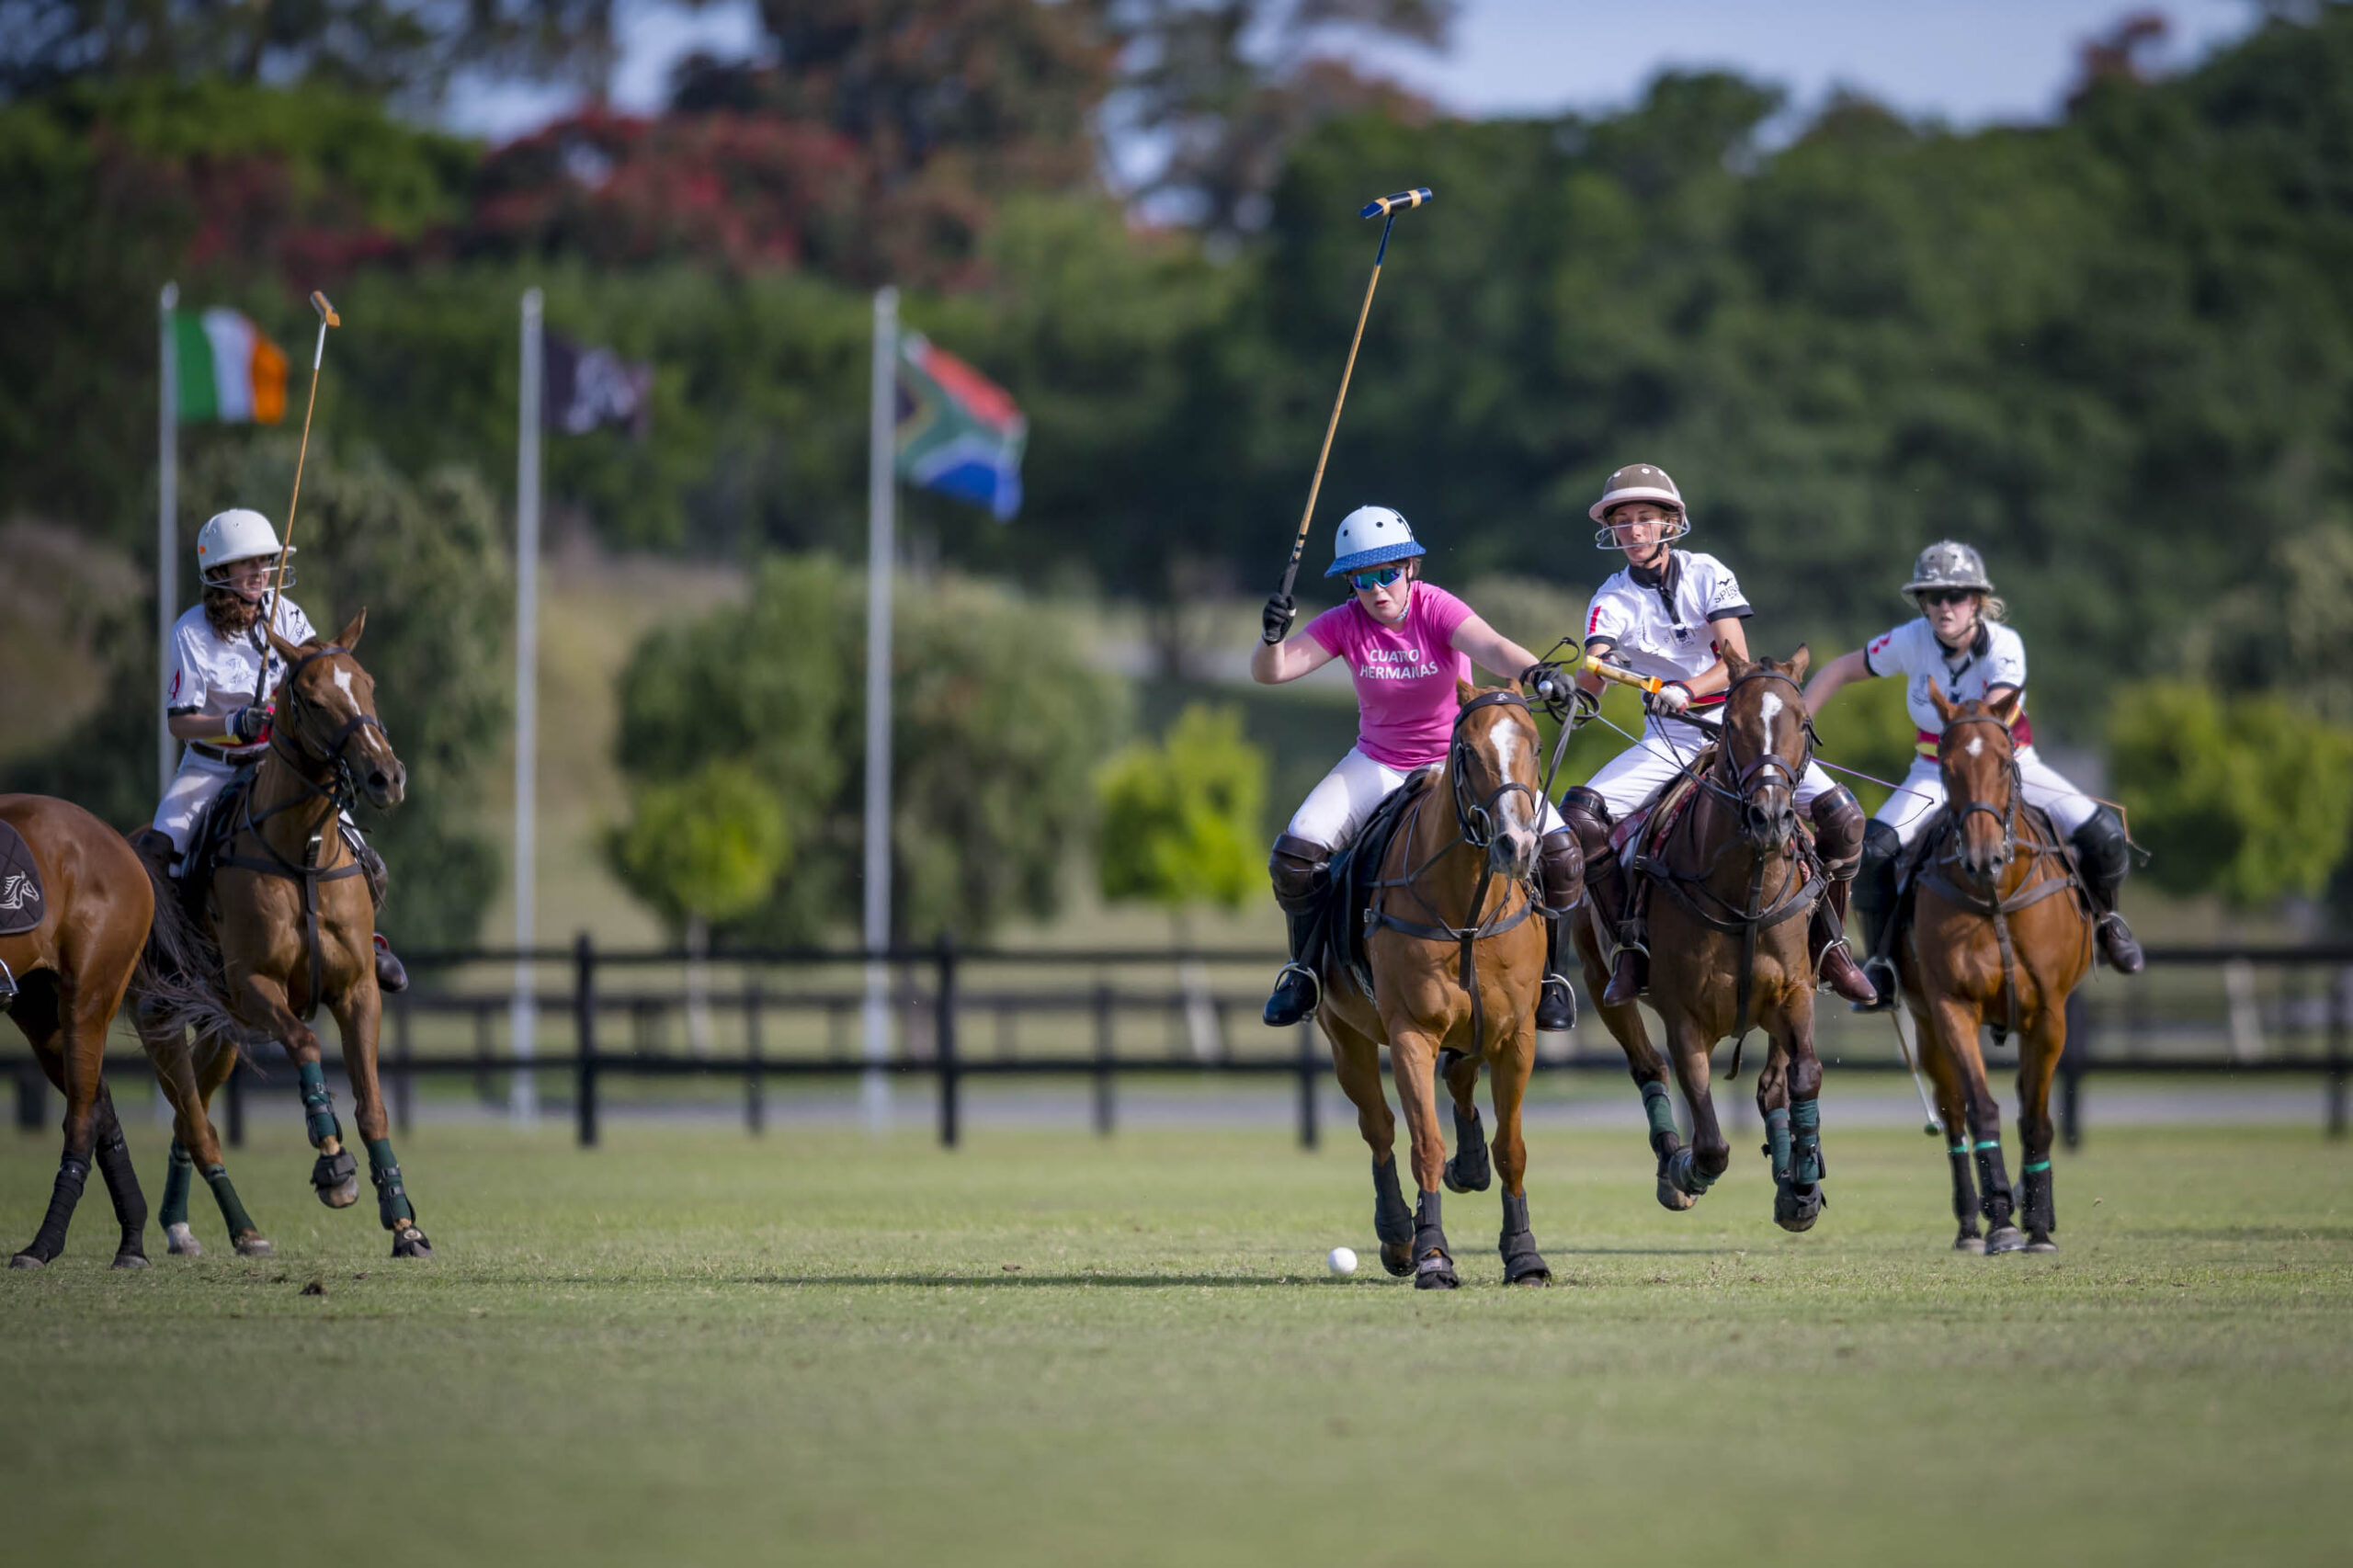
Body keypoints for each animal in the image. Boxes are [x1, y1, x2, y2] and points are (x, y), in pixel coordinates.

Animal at [133, 609, 433, 1260]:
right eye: (313, 700)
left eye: (368, 685)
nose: (386, 776)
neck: (304, 853)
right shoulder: (257, 986)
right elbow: (305, 1045)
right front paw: (334, 1167)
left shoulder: (357, 991)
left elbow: (373, 1107)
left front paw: (404, 1224)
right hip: (161, 1016)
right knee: (194, 1118)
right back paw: (228, 1229)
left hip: (222, 1030)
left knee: (191, 1113)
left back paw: (189, 1225)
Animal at [1314, 682, 1555, 1289]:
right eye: (1467, 750)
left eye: (1537, 745)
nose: (1517, 846)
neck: (1467, 908)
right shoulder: (1411, 1034)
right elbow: (1423, 1142)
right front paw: (1433, 1256)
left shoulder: (1517, 1035)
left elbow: (1511, 1148)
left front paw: (1524, 1255)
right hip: (1344, 1036)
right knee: (1378, 1128)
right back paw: (1399, 1235)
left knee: (1461, 1077)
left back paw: (1467, 1168)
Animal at [1573, 651, 1834, 1231]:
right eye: (1732, 724)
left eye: (1804, 723)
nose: (1770, 818)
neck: (1746, 891)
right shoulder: (1684, 1018)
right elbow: (1712, 1142)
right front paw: (1684, 1171)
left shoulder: (1795, 992)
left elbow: (1806, 1073)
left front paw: (1803, 1182)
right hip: (1600, 979)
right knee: (1648, 1065)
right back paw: (1672, 1161)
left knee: (1773, 1083)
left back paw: (1790, 1175)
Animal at [1897, 683, 2094, 1254]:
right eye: (1945, 766)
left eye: (2006, 763)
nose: (1983, 857)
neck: (1995, 897)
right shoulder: (1951, 1008)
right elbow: (1981, 1108)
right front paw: (2003, 1218)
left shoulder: (2050, 1015)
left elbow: (2037, 1119)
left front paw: (2038, 1222)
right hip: (1925, 1025)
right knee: (1952, 1111)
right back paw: (1971, 1221)